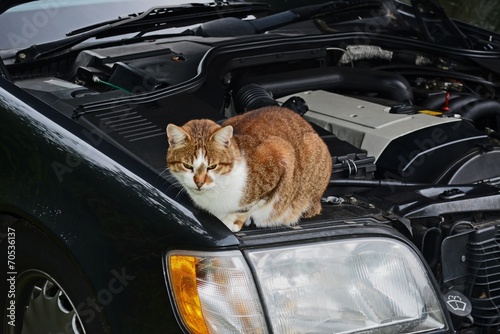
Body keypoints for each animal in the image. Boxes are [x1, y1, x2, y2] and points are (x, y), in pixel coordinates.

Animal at [166, 107, 334, 232]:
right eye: (187, 166)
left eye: (212, 166)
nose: (199, 182)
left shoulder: (282, 156)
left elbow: (251, 205)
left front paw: (233, 221)